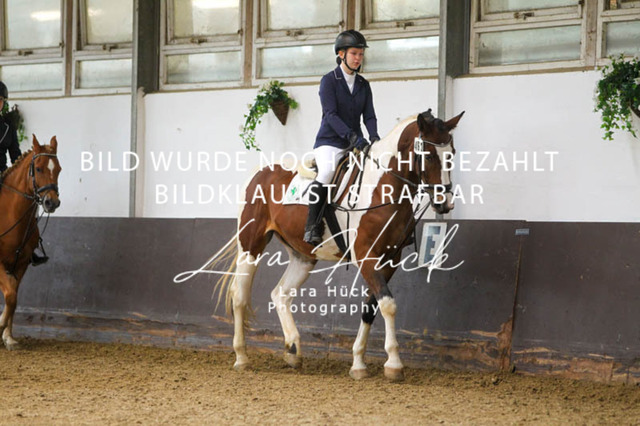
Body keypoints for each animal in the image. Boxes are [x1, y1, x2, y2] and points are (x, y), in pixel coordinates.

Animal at [0, 135, 61, 350]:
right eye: (39, 169)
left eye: (58, 169)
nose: (52, 202)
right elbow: (10, 296)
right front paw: (0, 327)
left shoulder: (21, 263)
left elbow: (13, 298)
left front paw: (8, 337)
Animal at [214, 109, 463, 381]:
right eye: (428, 154)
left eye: (452, 153)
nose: (445, 203)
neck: (382, 186)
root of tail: (260, 171)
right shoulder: (366, 256)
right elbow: (388, 304)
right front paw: (394, 364)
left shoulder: (390, 259)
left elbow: (371, 307)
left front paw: (358, 363)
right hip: (251, 245)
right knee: (240, 294)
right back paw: (242, 357)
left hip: (303, 256)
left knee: (281, 293)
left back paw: (293, 351)